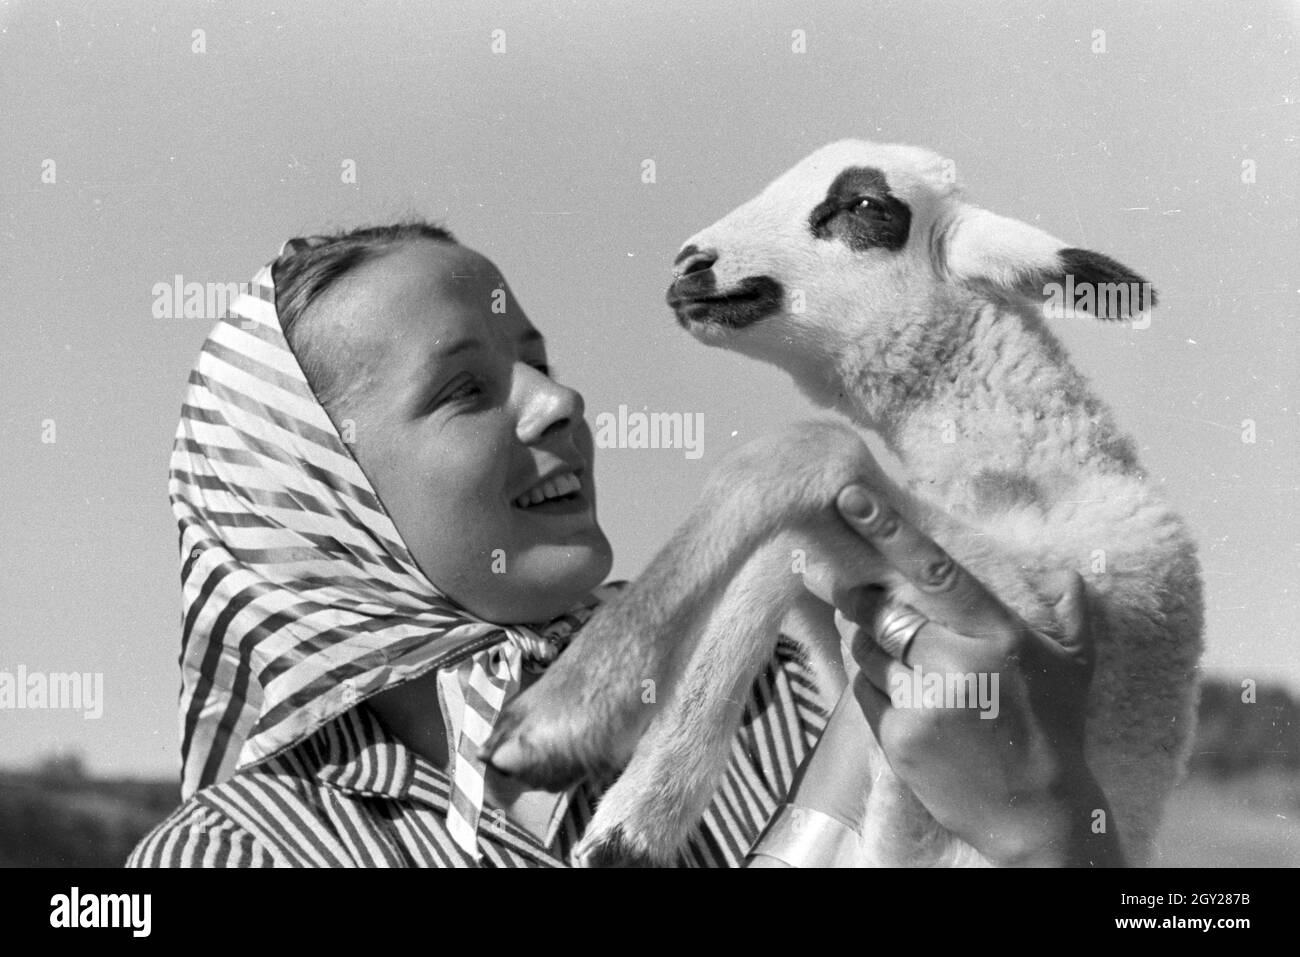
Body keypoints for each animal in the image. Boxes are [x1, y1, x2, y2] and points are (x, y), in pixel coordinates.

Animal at [488, 141, 1206, 868]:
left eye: (864, 205)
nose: (690, 264)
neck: (1040, 458)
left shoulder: (1043, 601)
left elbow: (807, 452)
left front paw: (561, 720)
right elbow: (778, 555)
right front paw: (633, 821)